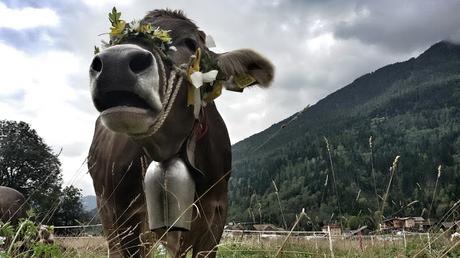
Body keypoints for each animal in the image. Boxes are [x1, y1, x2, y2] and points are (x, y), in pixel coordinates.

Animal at [88, 9, 274, 256]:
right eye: (113, 41)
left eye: (191, 42)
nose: (115, 63)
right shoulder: (125, 215)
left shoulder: (216, 216)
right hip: (108, 212)